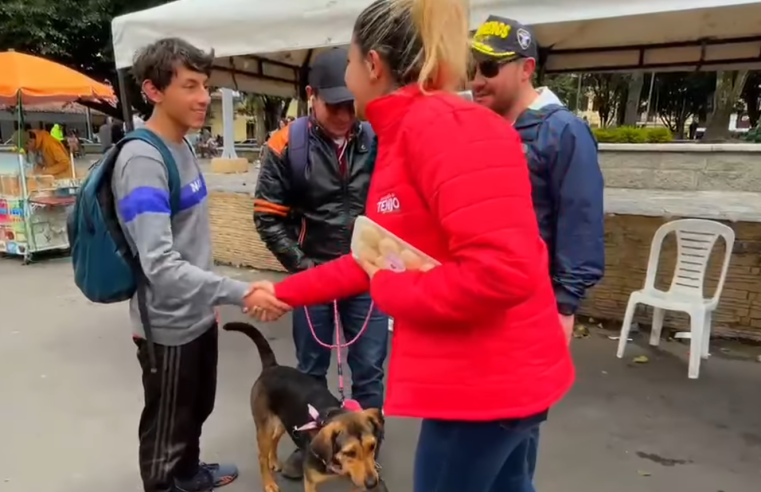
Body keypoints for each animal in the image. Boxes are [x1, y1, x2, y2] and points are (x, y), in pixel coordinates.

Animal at [223, 322, 382, 492]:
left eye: (372, 446)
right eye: (350, 452)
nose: (372, 483)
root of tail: (272, 367)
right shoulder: (311, 482)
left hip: (284, 421)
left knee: (275, 438)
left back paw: (273, 461)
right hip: (265, 426)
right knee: (261, 456)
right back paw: (269, 482)